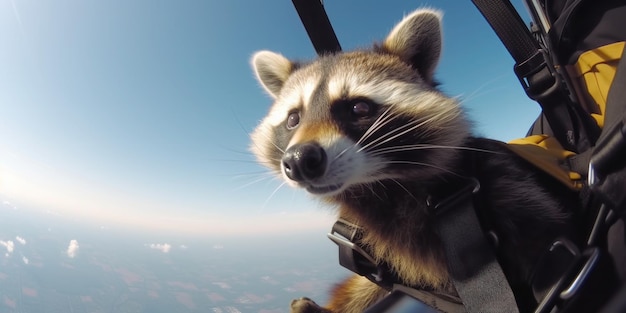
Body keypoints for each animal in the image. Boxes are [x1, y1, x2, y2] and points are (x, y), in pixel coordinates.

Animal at [247, 7, 576, 312]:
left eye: (359, 108)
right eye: (293, 119)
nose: (299, 160)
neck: (379, 187)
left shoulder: (513, 194)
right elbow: (369, 285)